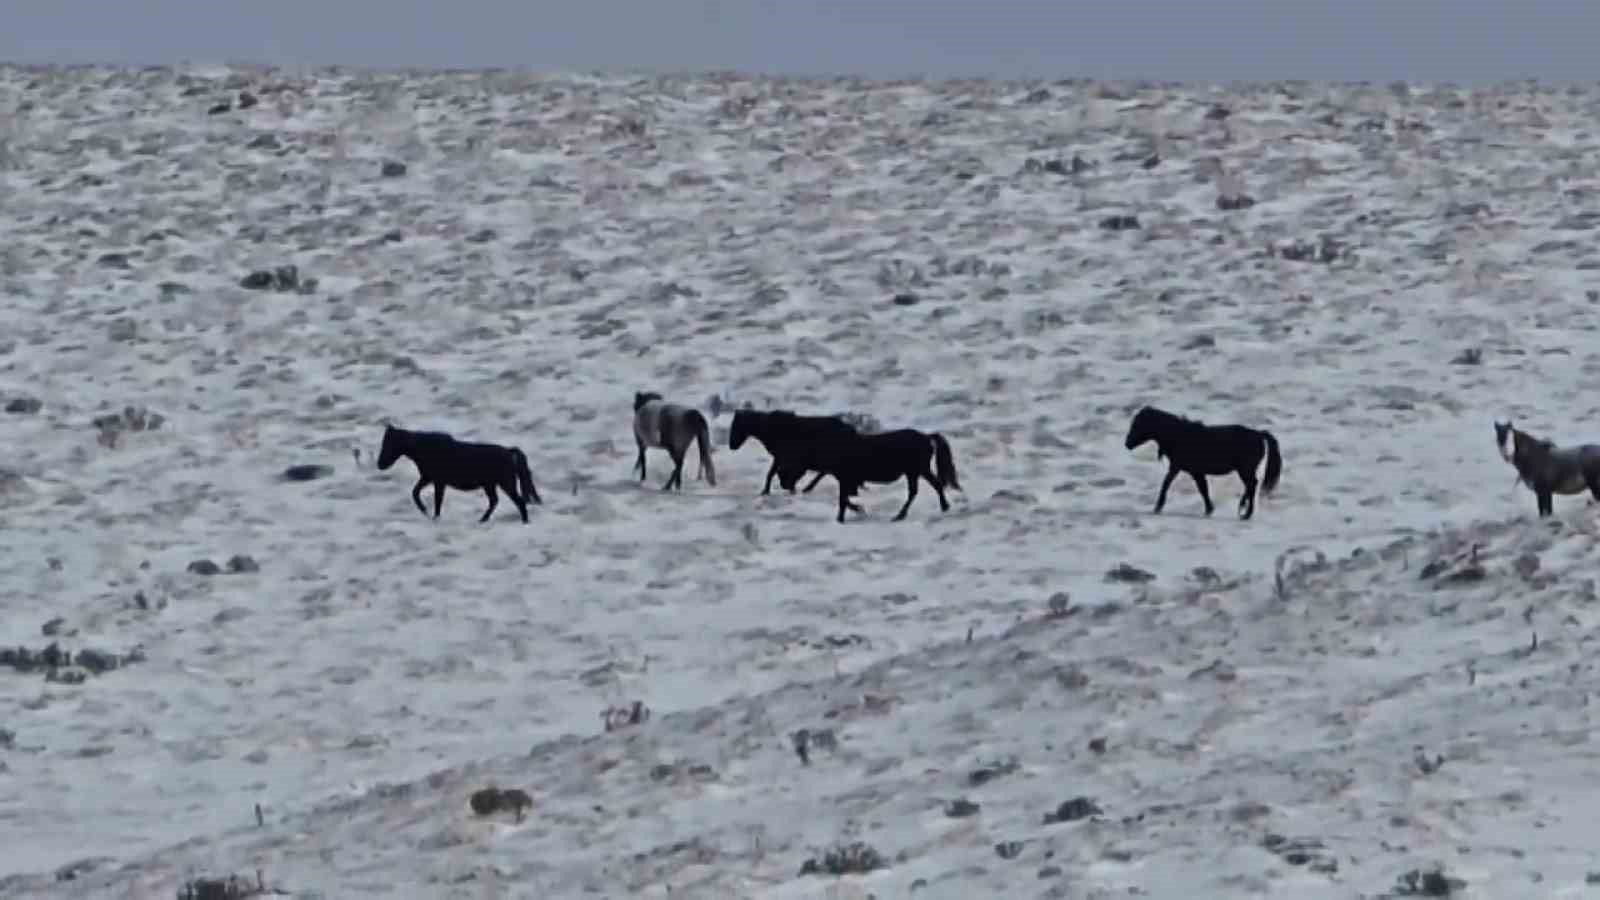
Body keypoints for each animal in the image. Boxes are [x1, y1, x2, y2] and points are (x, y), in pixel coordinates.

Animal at [376, 422, 544, 522]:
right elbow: (415, 492)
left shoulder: (438, 482)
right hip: (490, 485)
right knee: (494, 501)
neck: (424, 448)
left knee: (519, 502)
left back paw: (524, 522)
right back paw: (482, 520)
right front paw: (425, 511)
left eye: (388, 443)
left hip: (506, 483)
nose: (379, 464)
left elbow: (436, 500)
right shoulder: (428, 478)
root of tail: (509, 452)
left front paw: (432, 515)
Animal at [732, 408, 864, 493]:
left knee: (824, 472)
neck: (767, 427)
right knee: (824, 472)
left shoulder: (786, 458)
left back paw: (807, 488)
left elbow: (780, 473)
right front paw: (767, 490)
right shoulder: (780, 458)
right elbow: (774, 473)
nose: (732, 446)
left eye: (736, 426)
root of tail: (851, 430)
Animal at [777, 425, 953, 518]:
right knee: (930, 487)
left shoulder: (845, 478)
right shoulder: (846, 479)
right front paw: (857, 510)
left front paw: (846, 516)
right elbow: (844, 499)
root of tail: (927, 437)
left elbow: (842, 500)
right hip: (917, 471)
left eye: (789, 463)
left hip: (917, 470)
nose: (784, 484)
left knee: (923, 489)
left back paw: (902, 515)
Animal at [1126, 405, 1286, 518]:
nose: (1127, 444)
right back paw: (1243, 508)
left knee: (1252, 485)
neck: (1178, 435)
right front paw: (1209, 509)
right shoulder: (1193, 471)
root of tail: (1259, 434)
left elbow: (1167, 484)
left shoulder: (1179, 468)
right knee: (1251, 486)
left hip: (1245, 470)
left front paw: (1157, 507)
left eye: (1138, 424)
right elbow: (1202, 489)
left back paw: (1245, 512)